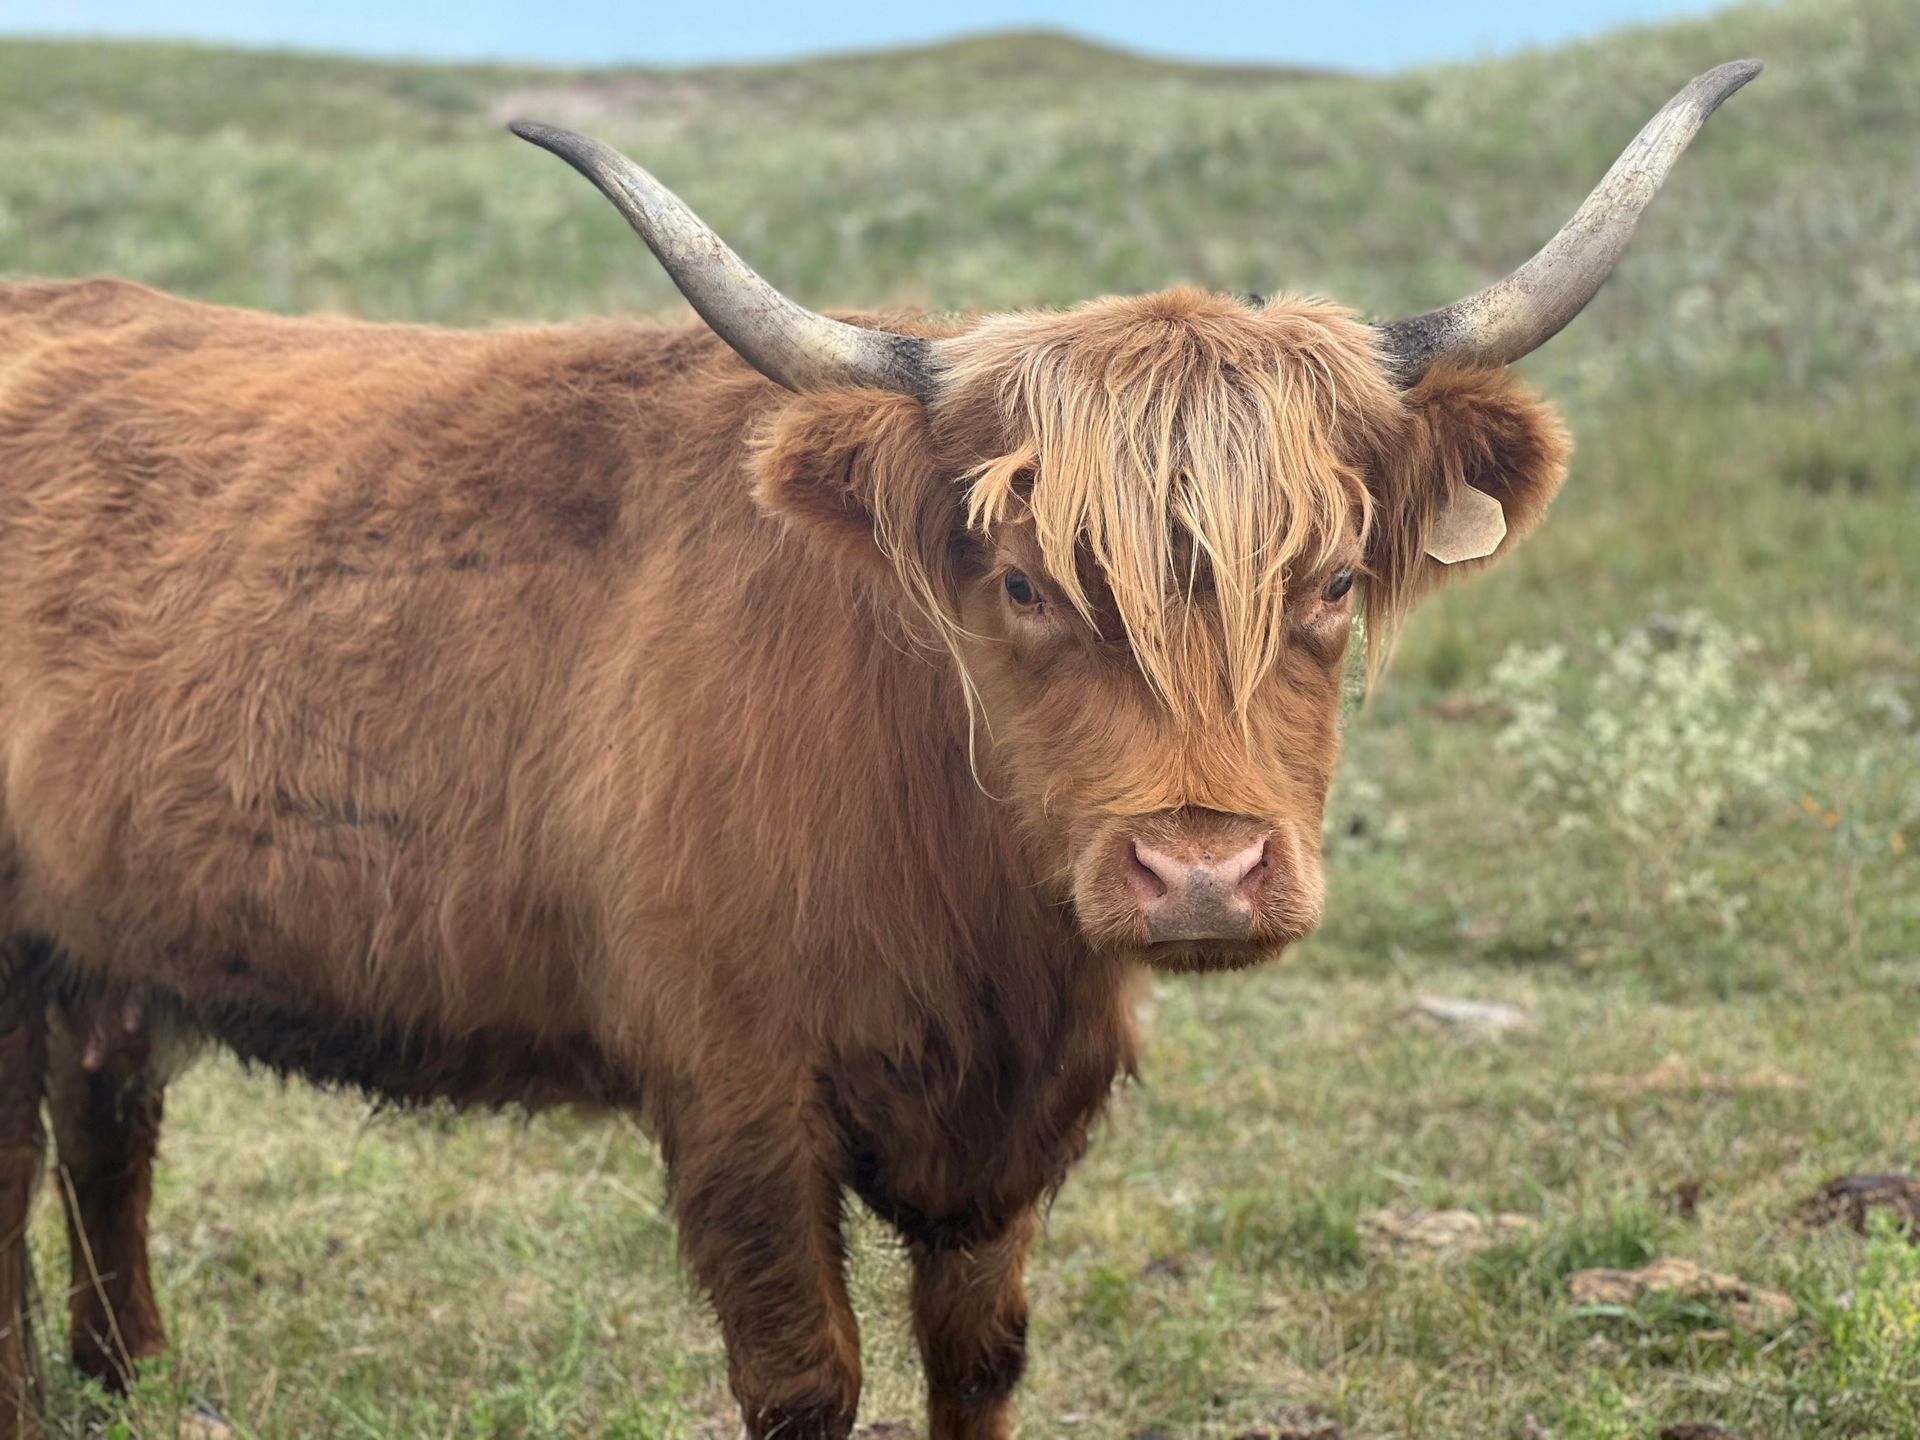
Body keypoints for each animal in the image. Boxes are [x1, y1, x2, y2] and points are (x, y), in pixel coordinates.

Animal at [0, 60, 1757, 1440]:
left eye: (1328, 585)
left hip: (90, 938)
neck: (977, 926)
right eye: (1027, 584)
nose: (1200, 872)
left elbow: (982, 1357)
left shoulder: (1010, 1130)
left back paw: (132, 1377)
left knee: (101, 1118)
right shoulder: (735, 1096)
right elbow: (806, 1376)